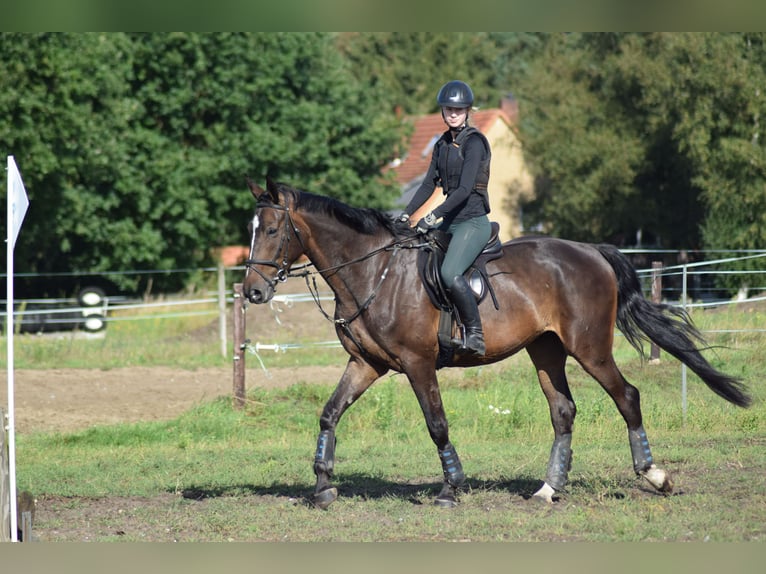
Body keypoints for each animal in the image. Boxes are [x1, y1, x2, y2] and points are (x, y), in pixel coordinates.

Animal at [243, 179, 752, 508]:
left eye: (271, 230)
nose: (253, 293)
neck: (374, 272)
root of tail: (592, 251)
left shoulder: (417, 363)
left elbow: (437, 425)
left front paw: (451, 489)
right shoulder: (366, 363)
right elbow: (329, 414)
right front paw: (323, 487)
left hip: (589, 348)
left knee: (627, 396)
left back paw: (655, 476)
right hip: (546, 349)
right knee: (563, 411)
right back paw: (549, 489)